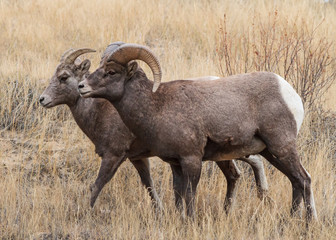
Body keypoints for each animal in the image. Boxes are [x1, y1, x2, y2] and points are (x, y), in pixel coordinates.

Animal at [39, 47, 270, 212]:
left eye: (64, 77)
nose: (42, 99)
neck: (99, 112)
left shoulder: (114, 155)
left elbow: (96, 185)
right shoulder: (138, 158)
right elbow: (149, 185)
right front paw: (160, 211)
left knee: (250, 165)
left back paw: (262, 195)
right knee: (240, 171)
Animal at [79, 41, 318, 221]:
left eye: (111, 72)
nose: (82, 87)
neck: (157, 106)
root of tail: (289, 92)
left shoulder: (192, 159)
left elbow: (190, 196)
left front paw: (191, 222)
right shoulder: (175, 164)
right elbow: (178, 197)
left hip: (282, 147)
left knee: (304, 179)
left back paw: (307, 223)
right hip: (270, 152)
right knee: (295, 181)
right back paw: (290, 219)